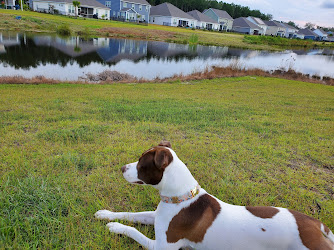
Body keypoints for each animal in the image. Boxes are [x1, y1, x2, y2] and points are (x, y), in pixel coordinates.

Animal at [94, 142, 334, 249]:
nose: (122, 168)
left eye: (141, 164)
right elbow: (133, 214)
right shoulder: (156, 217)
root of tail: (317, 225)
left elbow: (133, 230)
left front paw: (115, 227)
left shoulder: (162, 246)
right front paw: (107, 215)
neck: (181, 198)